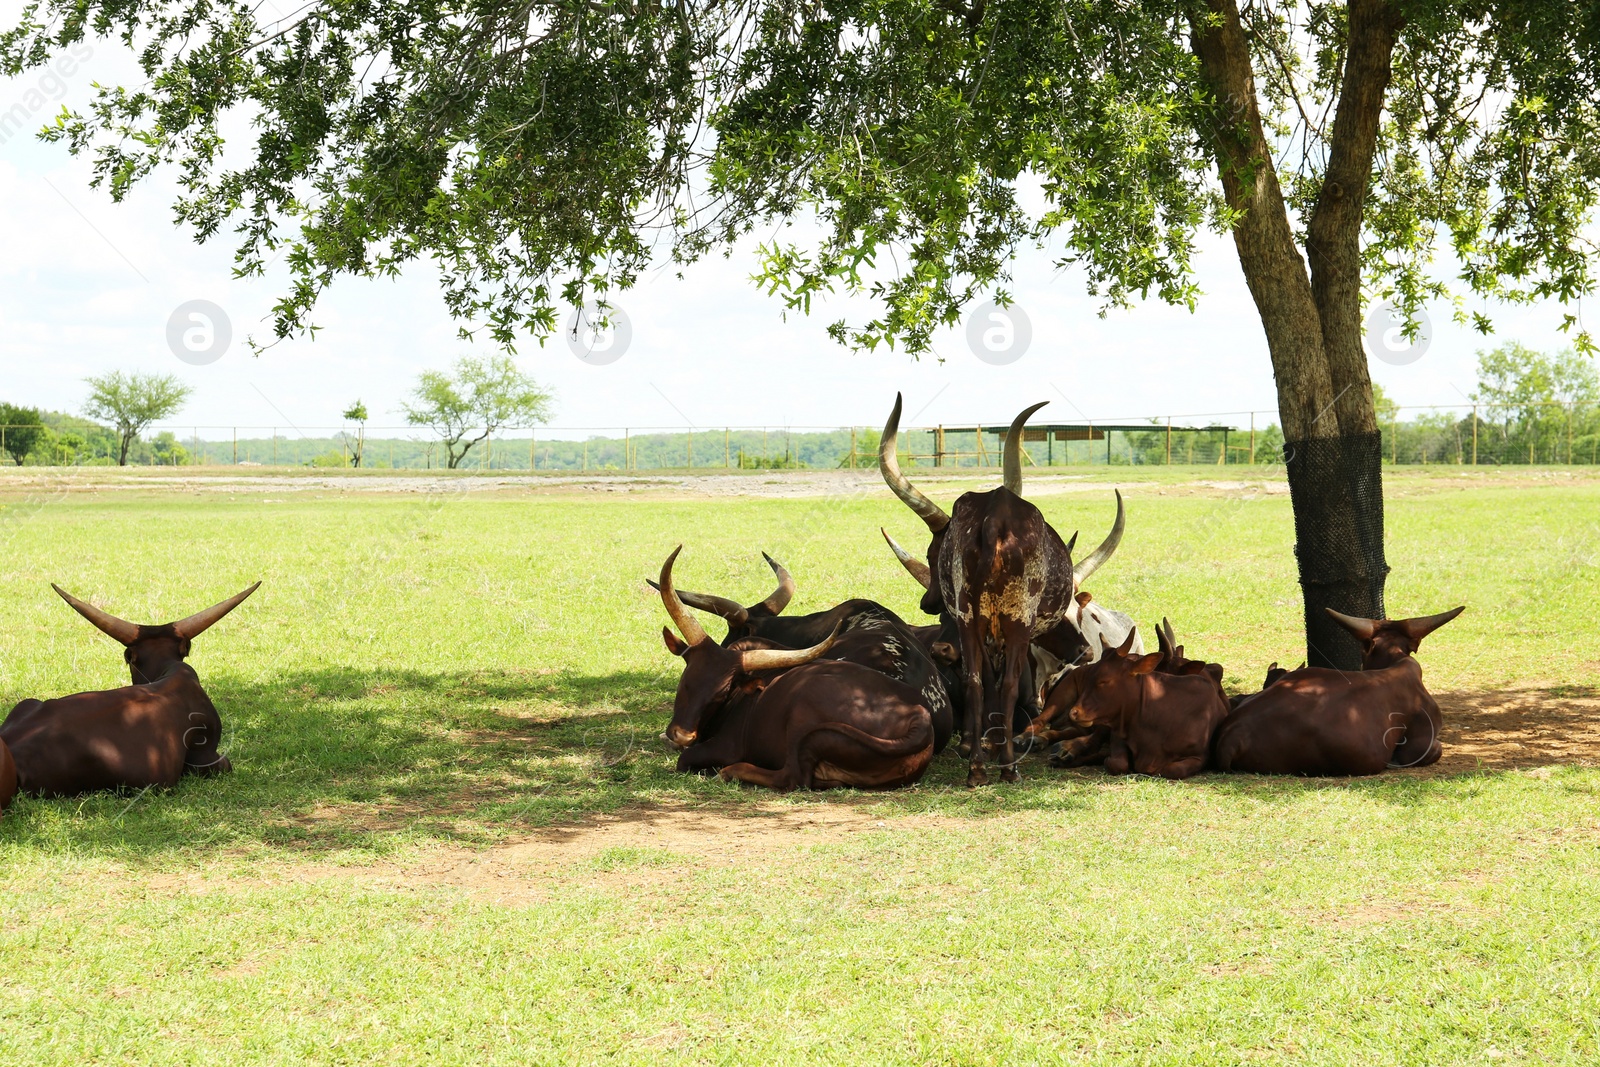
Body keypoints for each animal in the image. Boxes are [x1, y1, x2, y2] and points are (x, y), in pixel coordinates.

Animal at [652, 550, 934, 793]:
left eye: (721, 692)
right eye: (686, 680)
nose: (683, 734)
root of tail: (917, 716)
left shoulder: (726, 746)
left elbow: (685, 758)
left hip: (802, 722)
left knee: (792, 777)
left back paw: (731, 771)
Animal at [1049, 630, 1222, 780]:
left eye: (1104, 681)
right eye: (1089, 675)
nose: (1074, 713)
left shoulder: (1200, 756)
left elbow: (1173, 769)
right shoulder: (1118, 735)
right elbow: (1118, 762)